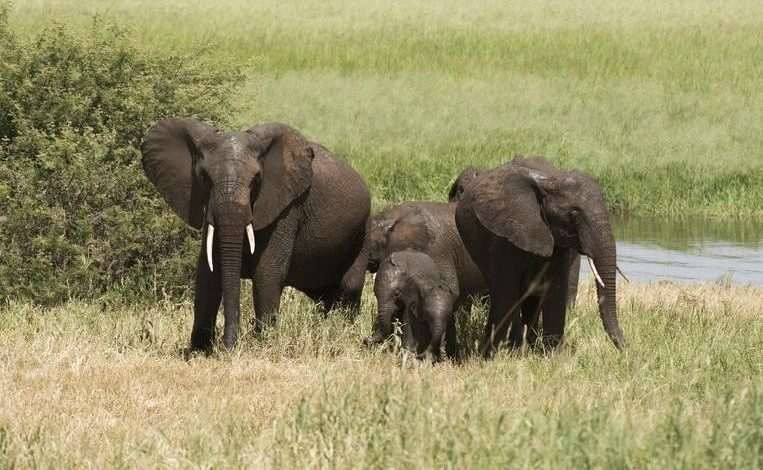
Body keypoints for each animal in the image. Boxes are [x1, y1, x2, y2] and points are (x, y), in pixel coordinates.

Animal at [141, 118, 370, 351]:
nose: (229, 346)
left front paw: (262, 344)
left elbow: (267, 271)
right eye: (204, 178)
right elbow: (207, 272)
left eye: (256, 179)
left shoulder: (288, 208)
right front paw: (199, 351)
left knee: (349, 287)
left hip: (362, 233)